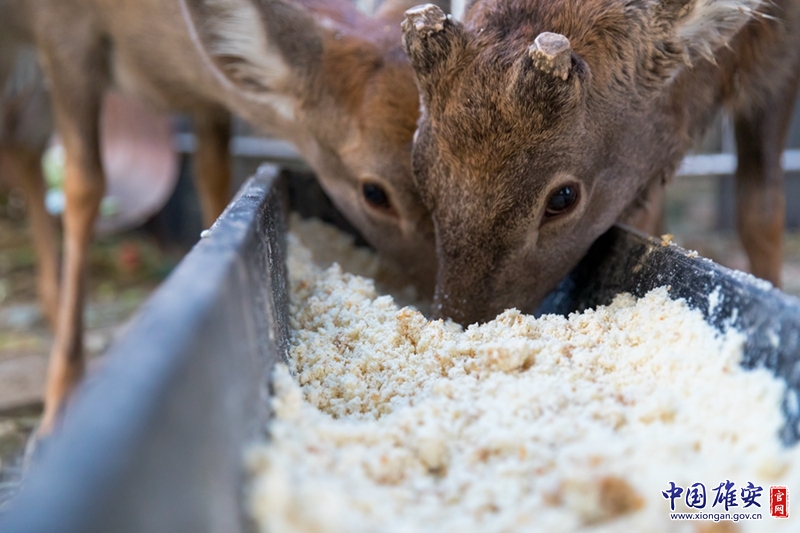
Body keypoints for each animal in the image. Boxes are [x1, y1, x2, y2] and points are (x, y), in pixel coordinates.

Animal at [0, 0, 444, 434]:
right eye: (375, 194)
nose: (435, 298)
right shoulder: (62, 31)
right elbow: (84, 184)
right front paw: (59, 406)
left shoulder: (209, 101)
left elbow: (214, 174)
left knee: (22, 141)